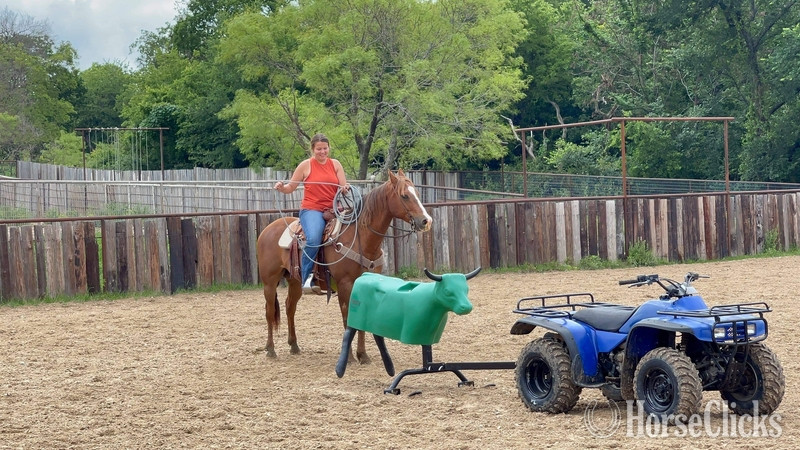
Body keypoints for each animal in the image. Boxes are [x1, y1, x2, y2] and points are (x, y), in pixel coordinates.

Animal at [256, 169, 433, 363]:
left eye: (417, 193)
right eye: (404, 195)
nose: (426, 221)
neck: (361, 239)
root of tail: (268, 230)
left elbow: (361, 320)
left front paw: (362, 355)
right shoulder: (344, 284)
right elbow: (347, 318)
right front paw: (349, 357)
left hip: (295, 281)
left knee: (290, 307)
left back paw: (294, 345)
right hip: (269, 282)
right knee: (269, 311)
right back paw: (270, 349)